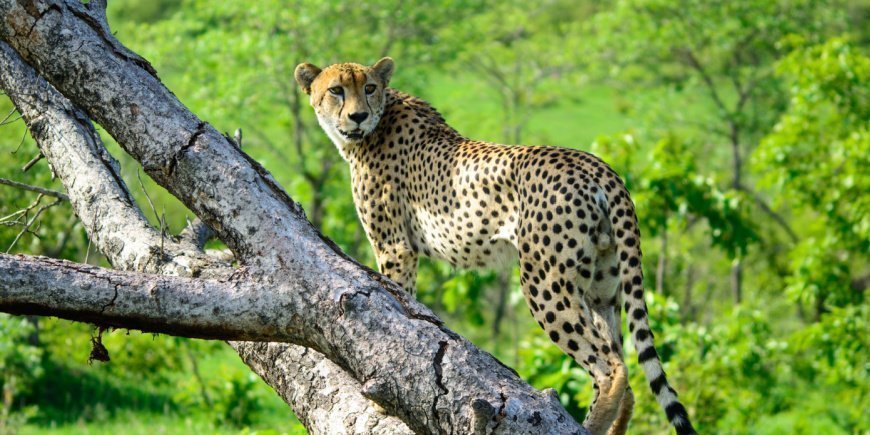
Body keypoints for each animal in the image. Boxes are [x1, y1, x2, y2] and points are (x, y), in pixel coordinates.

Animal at [294, 57, 697, 435]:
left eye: (370, 87)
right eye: (336, 90)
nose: (358, 116)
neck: (376, 123)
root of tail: (598, 166)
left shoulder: (395, 247)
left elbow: (397, 307)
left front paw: (381, 402)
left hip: (545, 281)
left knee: (611, 366)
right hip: (603, 285)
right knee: (623, 365)